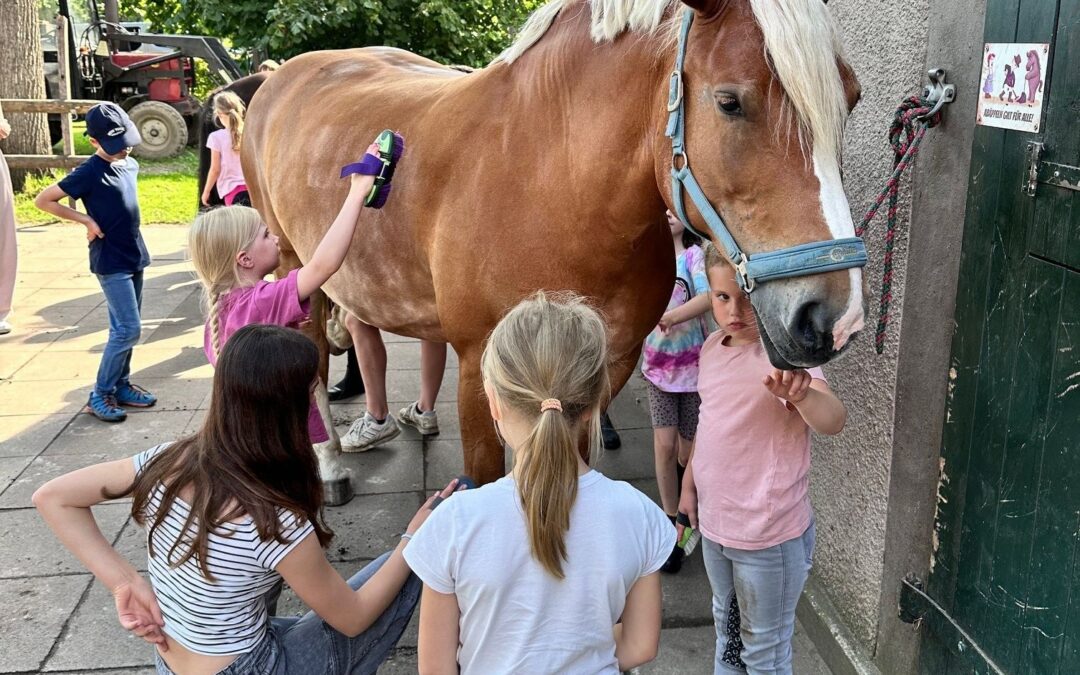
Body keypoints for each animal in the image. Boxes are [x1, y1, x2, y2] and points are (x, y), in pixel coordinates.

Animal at [243, 0, 859, 483]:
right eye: (730, 101)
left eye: (852, 99)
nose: (836, 318)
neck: (551, 183)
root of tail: (281, 77)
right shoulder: (480, 371)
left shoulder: (606, 367)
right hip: (296, 267)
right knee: (310, 358)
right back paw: (328, 463)